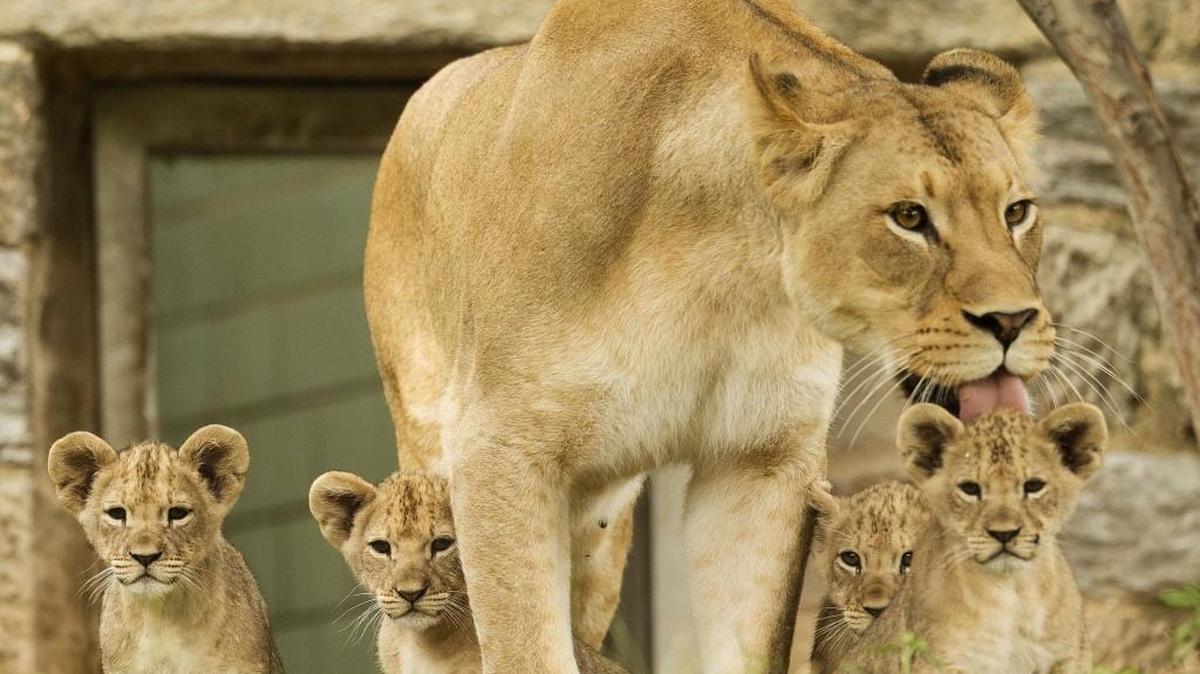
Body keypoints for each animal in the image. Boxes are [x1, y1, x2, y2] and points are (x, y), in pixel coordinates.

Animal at [838, 404, 1106, 673]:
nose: (1004, 533)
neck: (1012, 592)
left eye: (1033, 486)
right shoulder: (942, 661)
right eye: (969, 489)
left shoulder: (1069, 658)